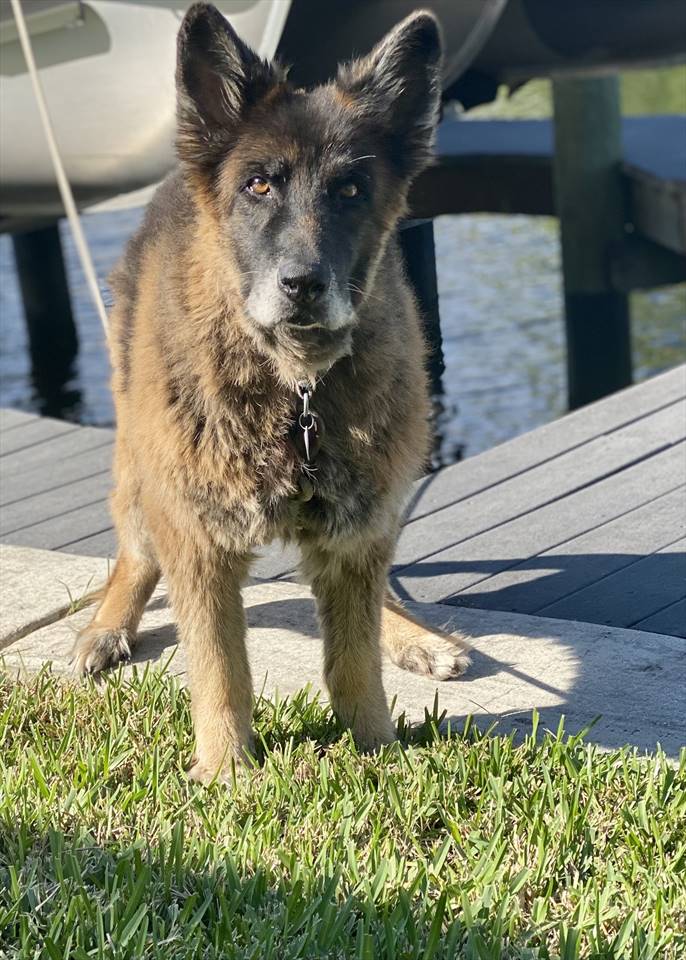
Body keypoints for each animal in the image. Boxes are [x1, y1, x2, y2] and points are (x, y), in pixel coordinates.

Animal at [73, 2, 470, 783]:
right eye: (258, 185)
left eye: (350, 191)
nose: (302, 284)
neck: (296, 391)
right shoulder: (197, 535)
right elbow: (221, 668)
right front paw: (227, 770)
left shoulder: (355, 530)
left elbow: (354, 660)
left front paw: (376, 751)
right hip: (139, 457)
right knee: (135, 551)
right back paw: (108, 626)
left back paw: (411, 632)